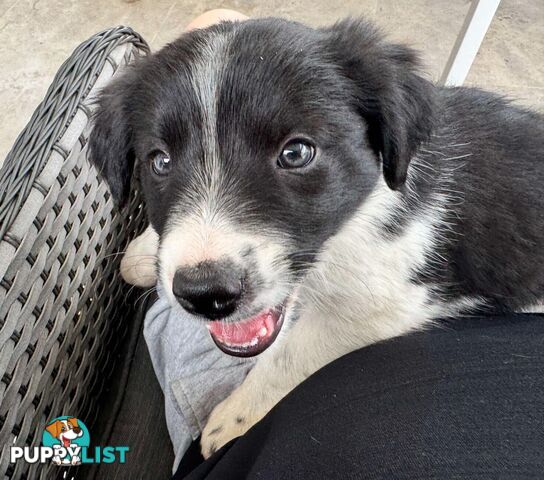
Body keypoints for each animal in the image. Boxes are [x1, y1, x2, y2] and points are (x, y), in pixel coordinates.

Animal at [89, 16, 544, 456]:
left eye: (296, 153)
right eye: (160, 162)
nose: (205, 294)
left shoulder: (385, 304)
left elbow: (290, 356)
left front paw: (235, 415)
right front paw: (143, 252)